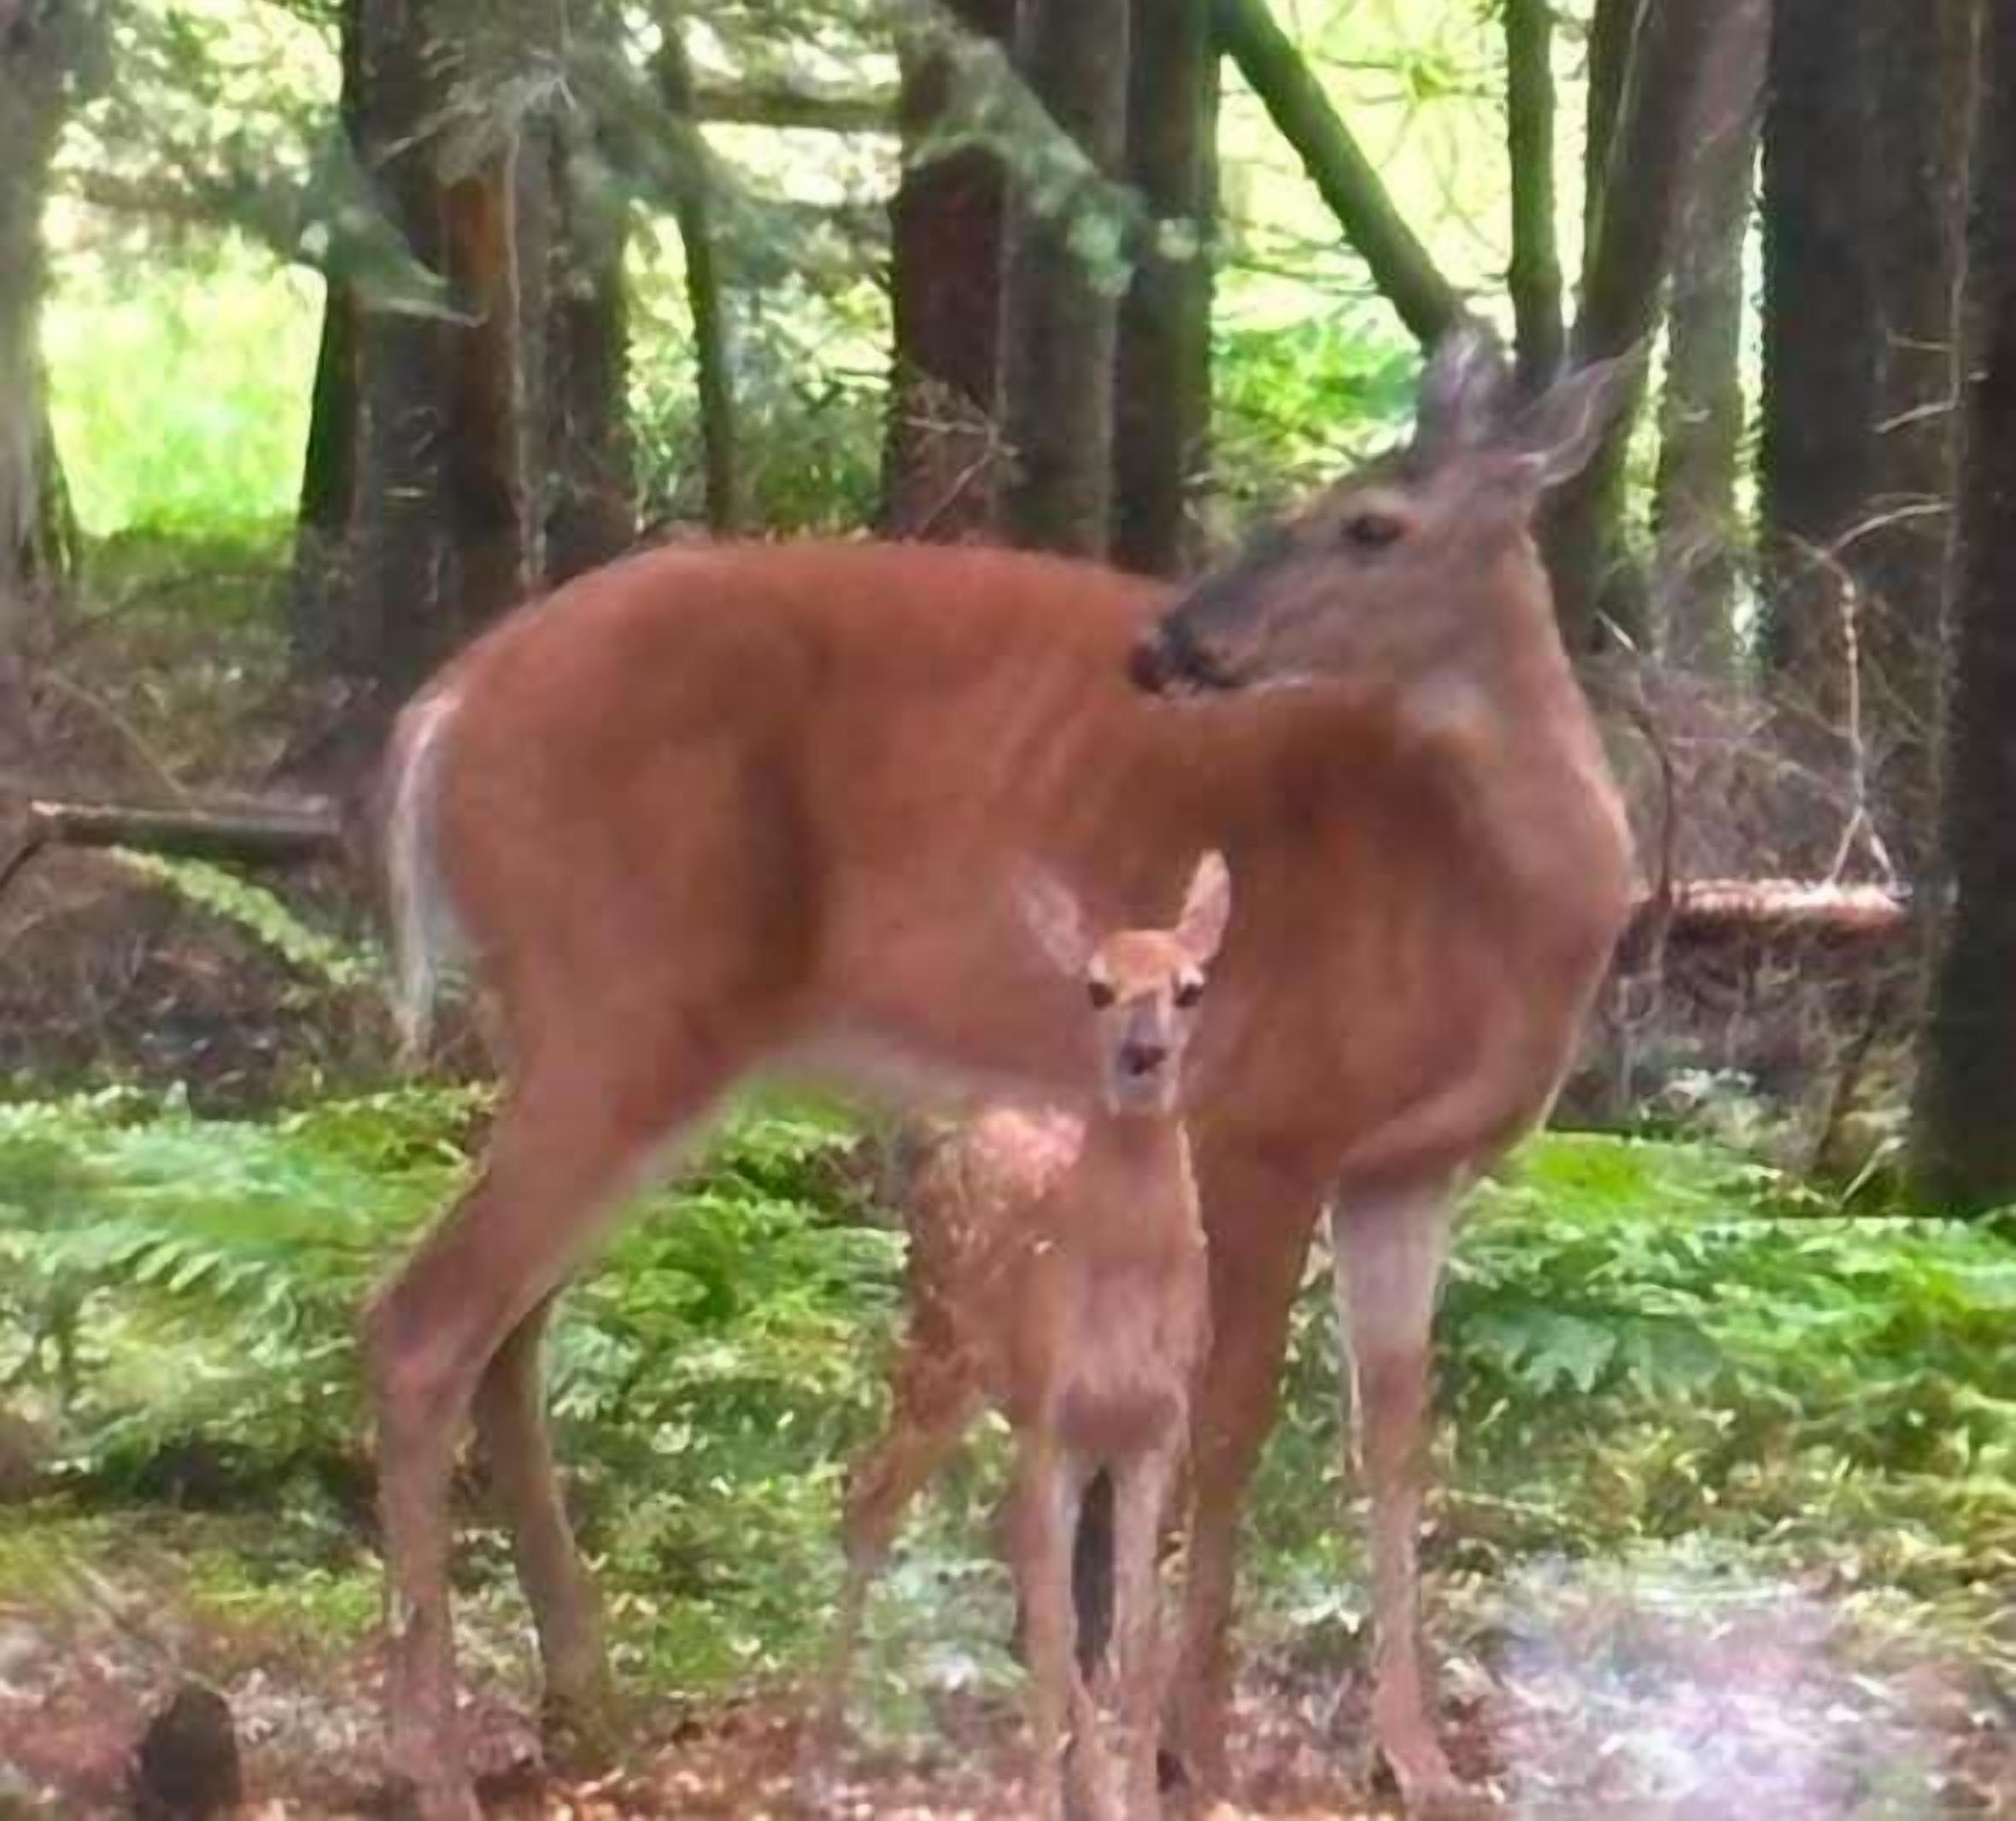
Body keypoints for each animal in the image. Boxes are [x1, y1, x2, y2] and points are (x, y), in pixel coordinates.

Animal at [823, 853, 1230, 1821]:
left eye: (1190, 986)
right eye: (1096, 986)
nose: (1142, 1056)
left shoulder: (1156, 1427)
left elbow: (1134, 1631)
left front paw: (1133, 1794)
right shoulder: (1054, 1418)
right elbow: (1055, 1629)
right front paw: (1050, 1794)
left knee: (1016, 1558)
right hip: (941, 1351)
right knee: (872, 1497)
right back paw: (814, 1746)